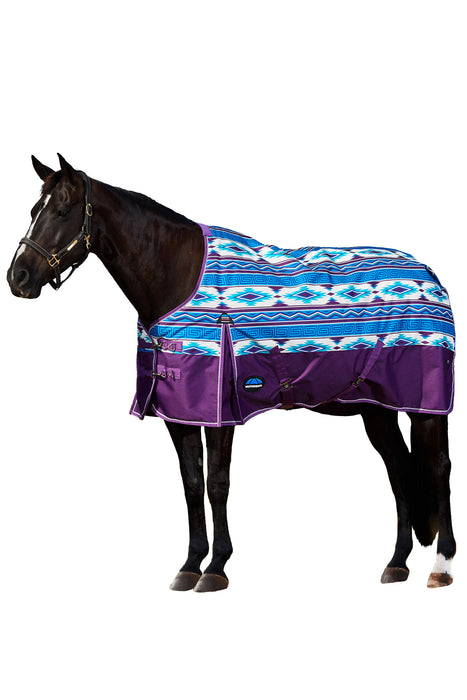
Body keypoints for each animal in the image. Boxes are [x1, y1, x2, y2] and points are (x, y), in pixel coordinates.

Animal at [7, 154, 456, 591]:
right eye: (32, 210)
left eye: (62, 211)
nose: (18, 277)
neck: (179, 278)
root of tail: (430, 275)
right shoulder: (180, 413)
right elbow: (192, 485)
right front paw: (190, 566)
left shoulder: (220, 413)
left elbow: (217, 484)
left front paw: (216, 568)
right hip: (376, 408)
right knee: (399, 469)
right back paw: (396, 563)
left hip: (425, 407)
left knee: (437, 468)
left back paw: (441, 567)